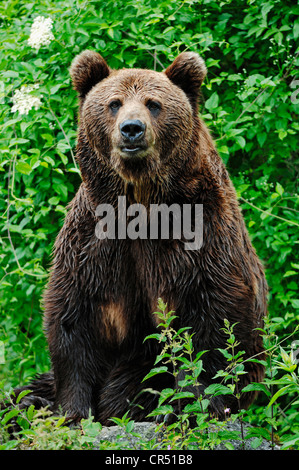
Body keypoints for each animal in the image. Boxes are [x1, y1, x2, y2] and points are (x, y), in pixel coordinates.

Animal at [12, 50, 268, 422]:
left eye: (154, 103)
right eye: (114, 103)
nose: (131, 129)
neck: (140, 201)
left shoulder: (200, 233)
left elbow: (213, 322)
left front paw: (190, 407)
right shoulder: (93, 243)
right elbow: (73, 317)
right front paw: (71, 410)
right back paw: (31, 402)